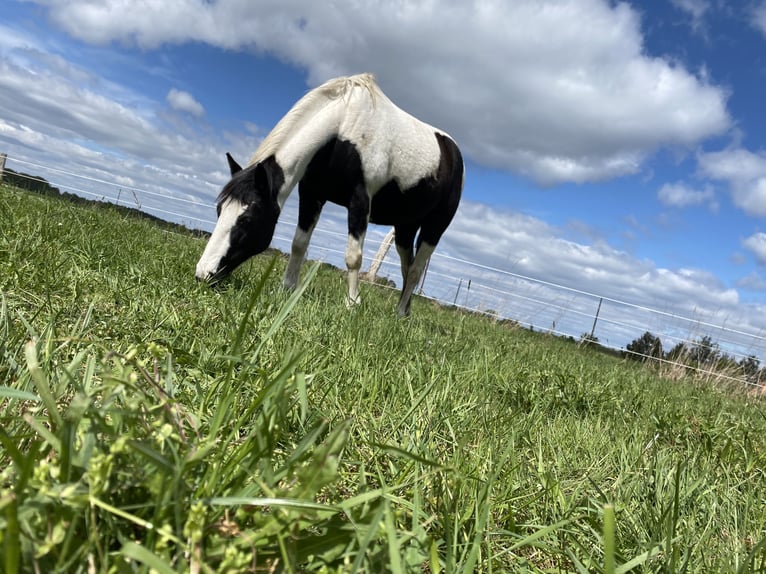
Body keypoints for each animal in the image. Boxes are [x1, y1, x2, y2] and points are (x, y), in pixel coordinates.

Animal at [195, 73, 464, 318]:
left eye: (247, 219)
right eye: (219, 210)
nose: (203, 274)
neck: (342, 129)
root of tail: (454, 152)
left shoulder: (360, 201)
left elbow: (353, 257)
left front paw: (352, 304)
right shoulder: (311, 193)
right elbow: (299, 243)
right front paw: (287, 288)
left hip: (434, 227)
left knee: (416, 269)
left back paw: (399, 314)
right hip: (405, 228)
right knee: (407, 267)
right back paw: (404, 311)